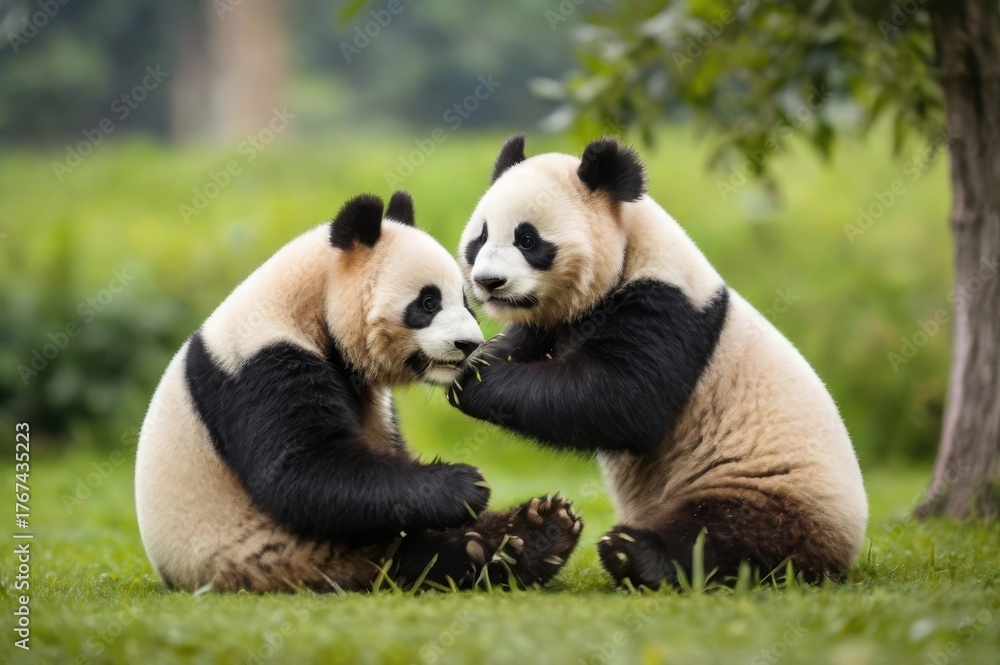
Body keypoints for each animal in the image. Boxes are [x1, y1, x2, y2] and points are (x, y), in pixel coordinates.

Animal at [135, 191, 582, 593]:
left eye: (466, 302)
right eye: (428, 302)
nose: (468, 345)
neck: (309, 299)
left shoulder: (367, 394)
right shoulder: (258, 364)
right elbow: (304, 470)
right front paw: (465, 484)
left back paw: (540, 531)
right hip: (278, 553)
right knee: (407, 557)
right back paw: (502, 547)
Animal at [448, 136, 868, 588]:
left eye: (527, 240)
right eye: (480, 237)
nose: (488, 282)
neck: (632, 249)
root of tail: (844, 551)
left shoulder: (668, 306)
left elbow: (619, 398)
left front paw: (479, 380)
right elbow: (533, 342)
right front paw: (476, 355)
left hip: (770, 482)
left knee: (736, 533)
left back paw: (638, 555)